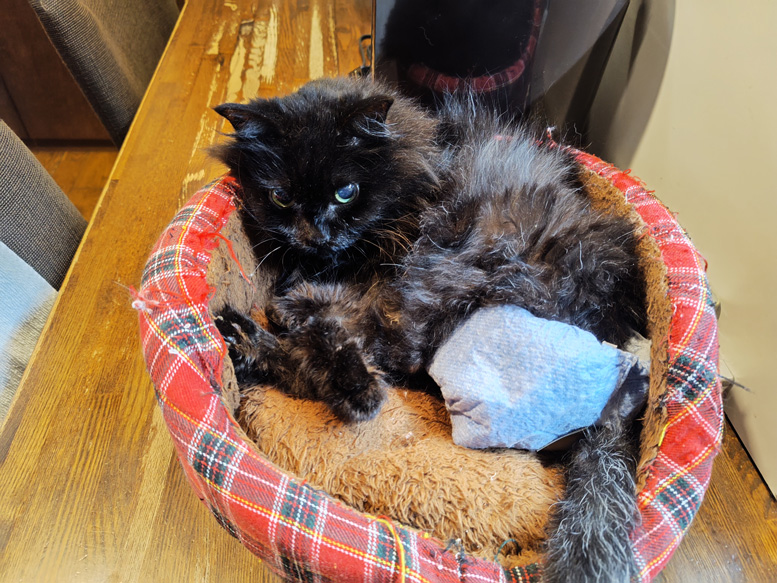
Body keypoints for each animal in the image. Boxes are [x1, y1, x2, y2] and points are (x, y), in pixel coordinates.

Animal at [213, 76, 646, 582]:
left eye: (346, 193)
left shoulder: (387, 274)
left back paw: (266, 340)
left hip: (443, 270)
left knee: (367, 362)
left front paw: (297, 303)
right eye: (280, 197)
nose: (314, 235)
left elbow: (348, 316)